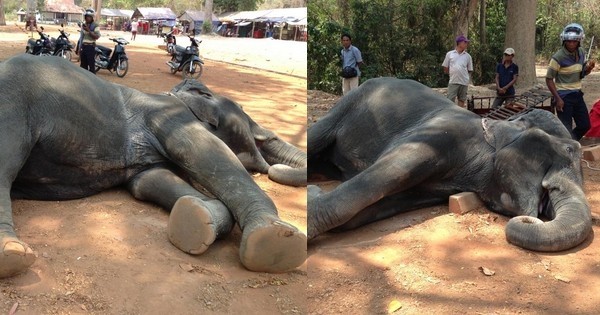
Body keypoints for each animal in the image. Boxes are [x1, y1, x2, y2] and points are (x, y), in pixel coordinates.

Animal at [0, 54, 308, 278]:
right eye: (244, 112)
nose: (271, 168)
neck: (175, 95)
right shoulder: (170, 116)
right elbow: (206, 152)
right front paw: (276, 241)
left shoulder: (146, 162)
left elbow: (148, 180)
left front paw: (197, 217)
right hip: (12, 104)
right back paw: (11, 255)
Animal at [310, 78, 592, 253]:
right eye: (568, 150)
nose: (534, 218)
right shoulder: (438, 135)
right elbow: (380, 178)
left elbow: (371, 209)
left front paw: (313, 193)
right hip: (348, 103)